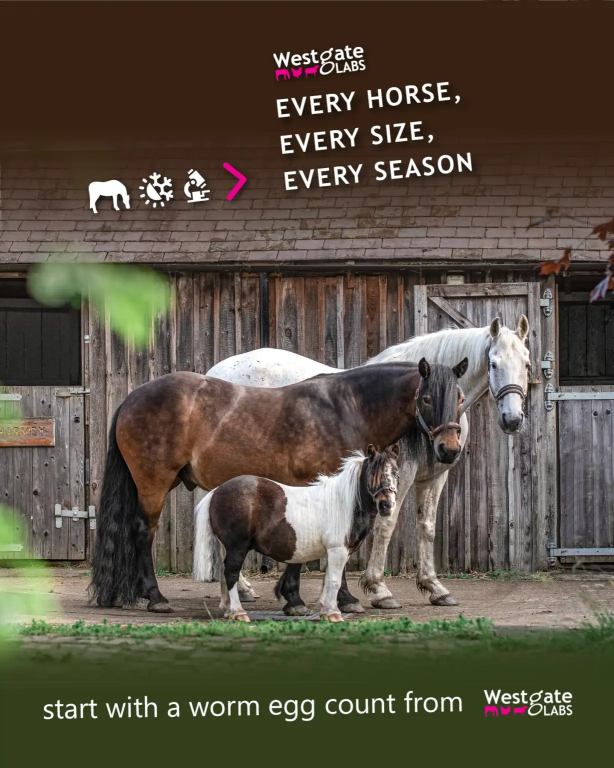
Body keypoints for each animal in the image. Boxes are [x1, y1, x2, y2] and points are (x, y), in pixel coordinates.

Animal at [194, 445, 400, 622]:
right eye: (373, 474)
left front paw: (326, 611)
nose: (387, 505)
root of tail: (216, 492)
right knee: (231, 574)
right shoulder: (337, 550)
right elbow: (334, 581)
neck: (343, 503)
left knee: (225, 572)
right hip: (238, 547)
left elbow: (328, 581)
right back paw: (238, 612)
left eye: (396, 473)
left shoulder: (336, 552)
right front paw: (334, 614)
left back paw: (228, 610)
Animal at [206, 316, 531, 613]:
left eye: (526, 364)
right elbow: (386, 525)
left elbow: (427, 528)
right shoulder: (396, 475)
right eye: (493, 364)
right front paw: (378, 589)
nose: (512, 420)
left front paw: (434, 587)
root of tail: (213, 373)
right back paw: (240, 589)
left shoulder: (435, 477)